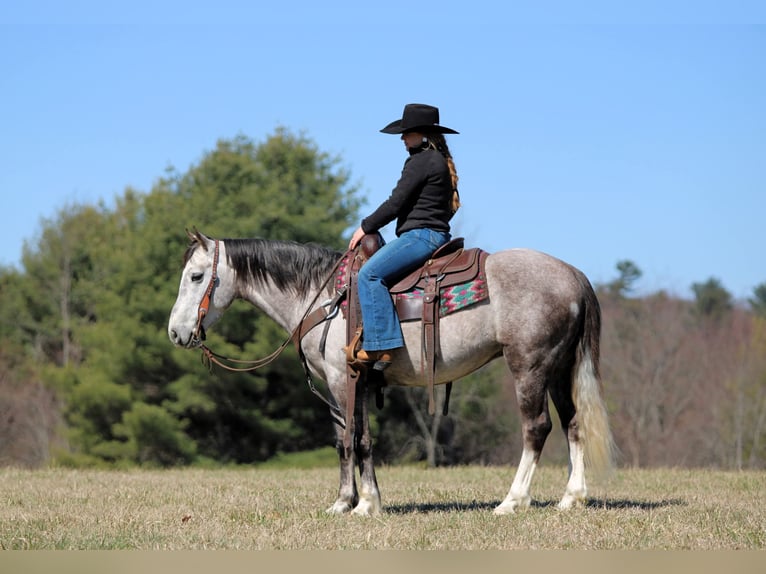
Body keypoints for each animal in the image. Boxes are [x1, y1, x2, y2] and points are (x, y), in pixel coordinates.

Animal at [168, 229, 616, 516]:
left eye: (196, 276)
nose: (175, 332)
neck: (323, 297)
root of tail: (572, 274)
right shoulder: (350, 385)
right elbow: (346, 440)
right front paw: (345, 502)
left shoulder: (343, 379)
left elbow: (358, 439)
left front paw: (365, 504)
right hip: (559, 369)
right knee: (573, 423)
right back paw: (571, 498)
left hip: (530, 366)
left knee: (536, 428)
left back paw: (512, 501)